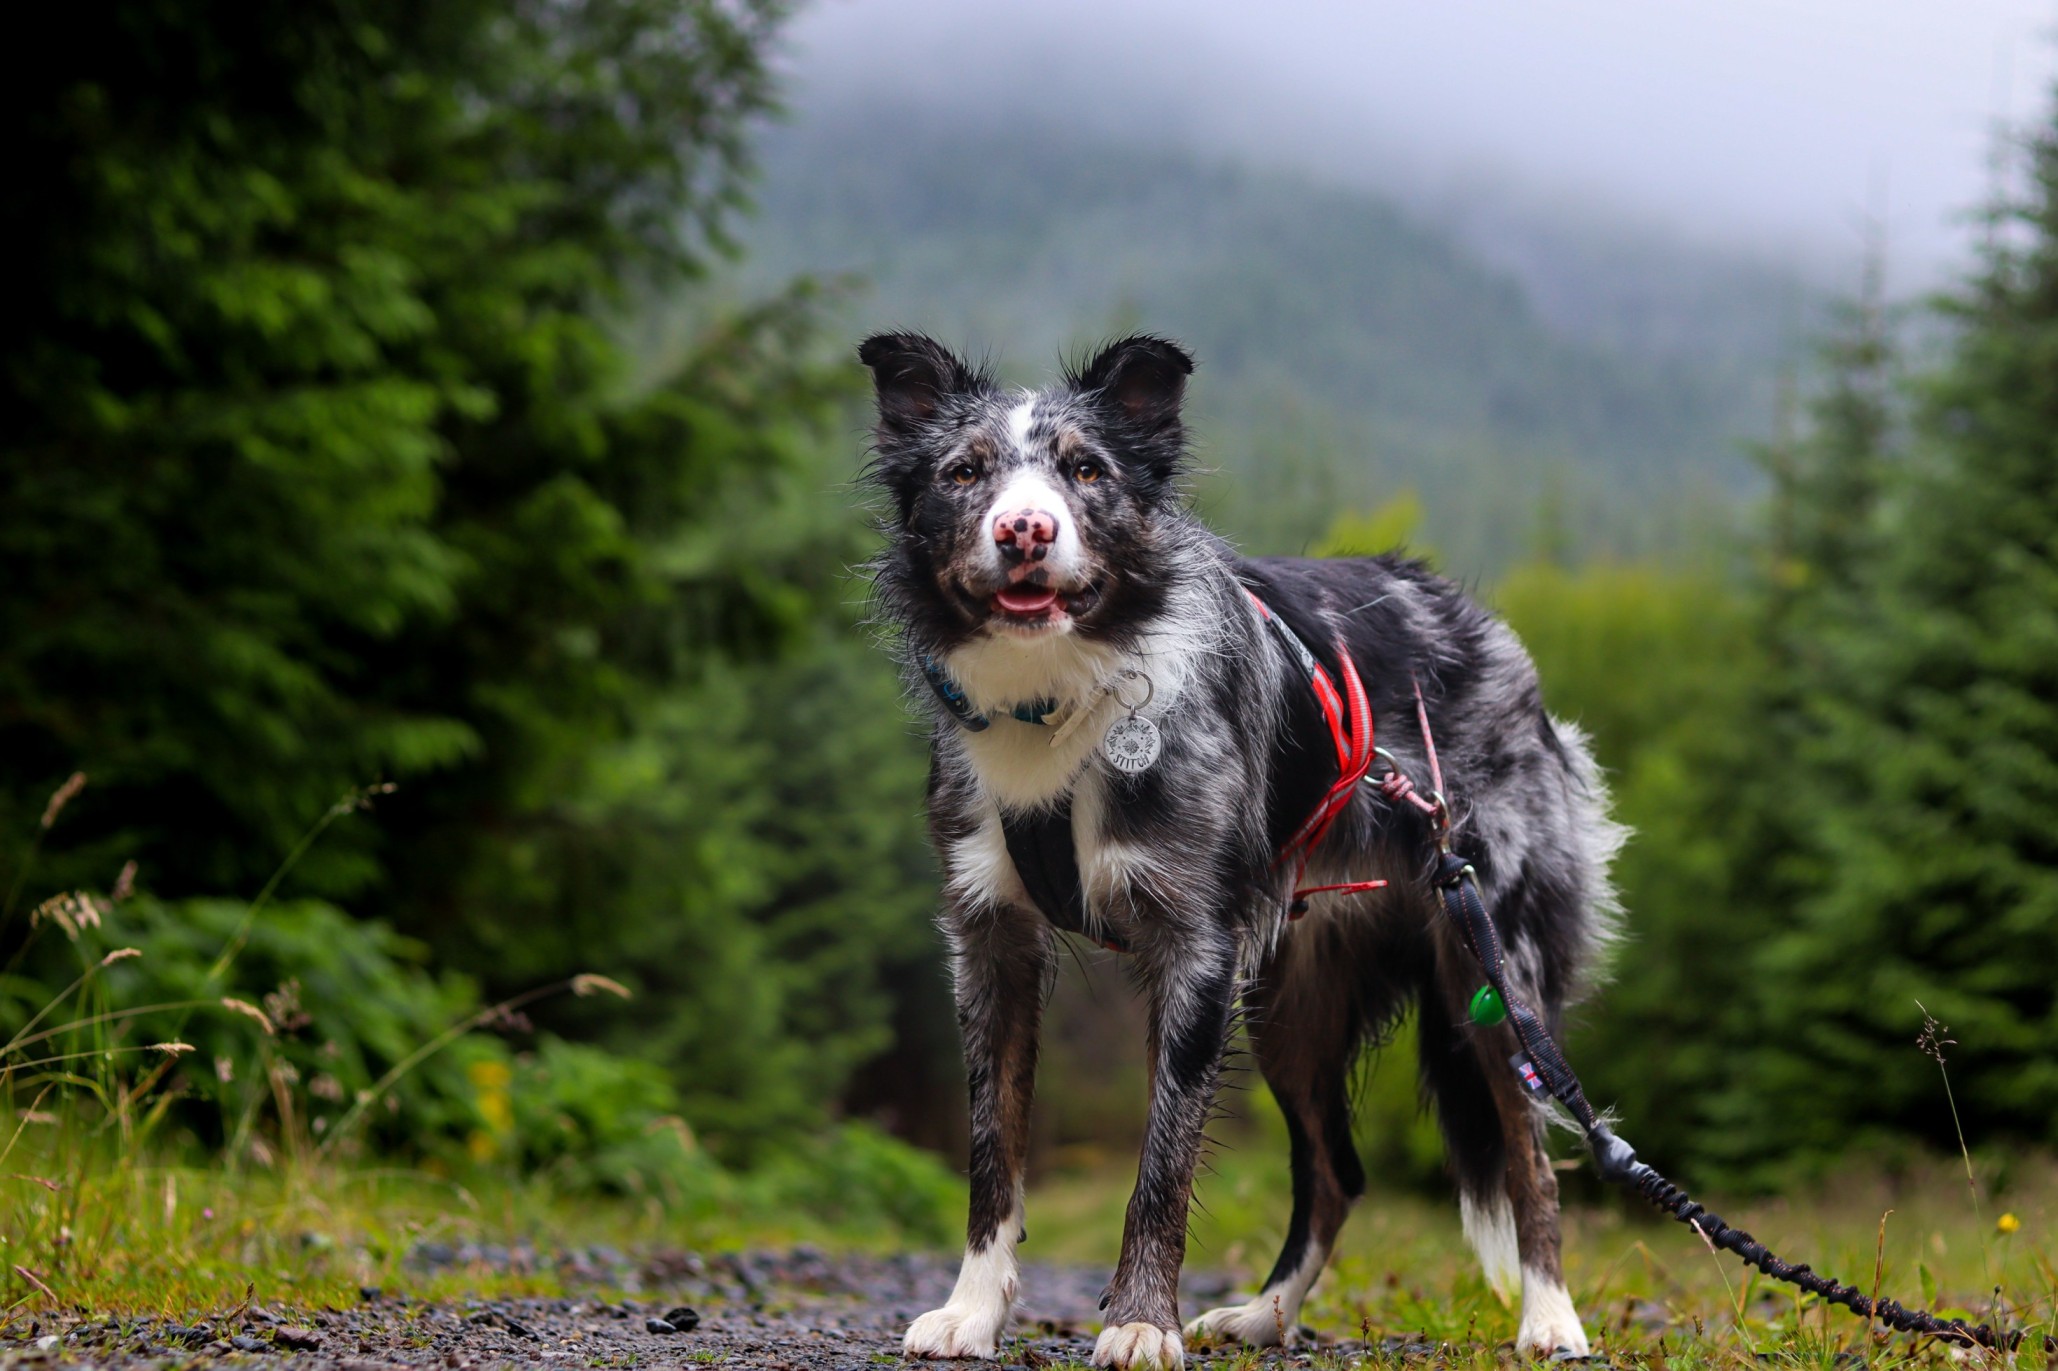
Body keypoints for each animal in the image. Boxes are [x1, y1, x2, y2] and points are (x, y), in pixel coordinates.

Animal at [856, 333, 1621, 1366]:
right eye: (964, 472)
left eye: (1086, 470)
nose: (1024, 531)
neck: (1059, 700)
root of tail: (1488, 630)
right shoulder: (990, 941)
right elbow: (992, 1148)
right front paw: (973, 1309)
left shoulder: (1195, 949)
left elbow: (1163, 1162)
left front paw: (1140, 1320)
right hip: (1293, 1005)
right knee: (1337, 1169)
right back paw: (1266, 1313)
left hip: (1490, 971)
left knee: (1530, 1156)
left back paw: (1549, 1318)